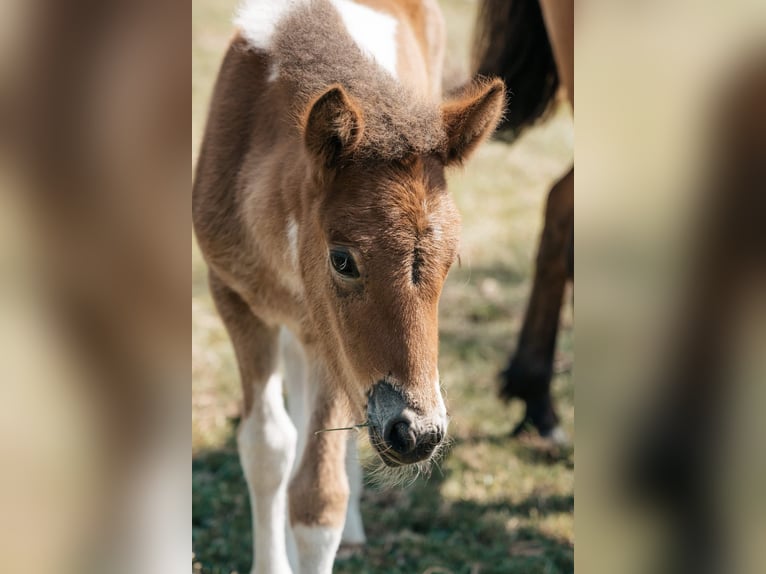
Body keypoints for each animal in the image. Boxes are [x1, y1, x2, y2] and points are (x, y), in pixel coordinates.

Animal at [192, 1, 504, 572]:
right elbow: (267, 449)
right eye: (342, 260)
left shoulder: (330, 342)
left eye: (452, 262)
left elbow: (319, 499)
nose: (419, 433)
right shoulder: (234, 297)